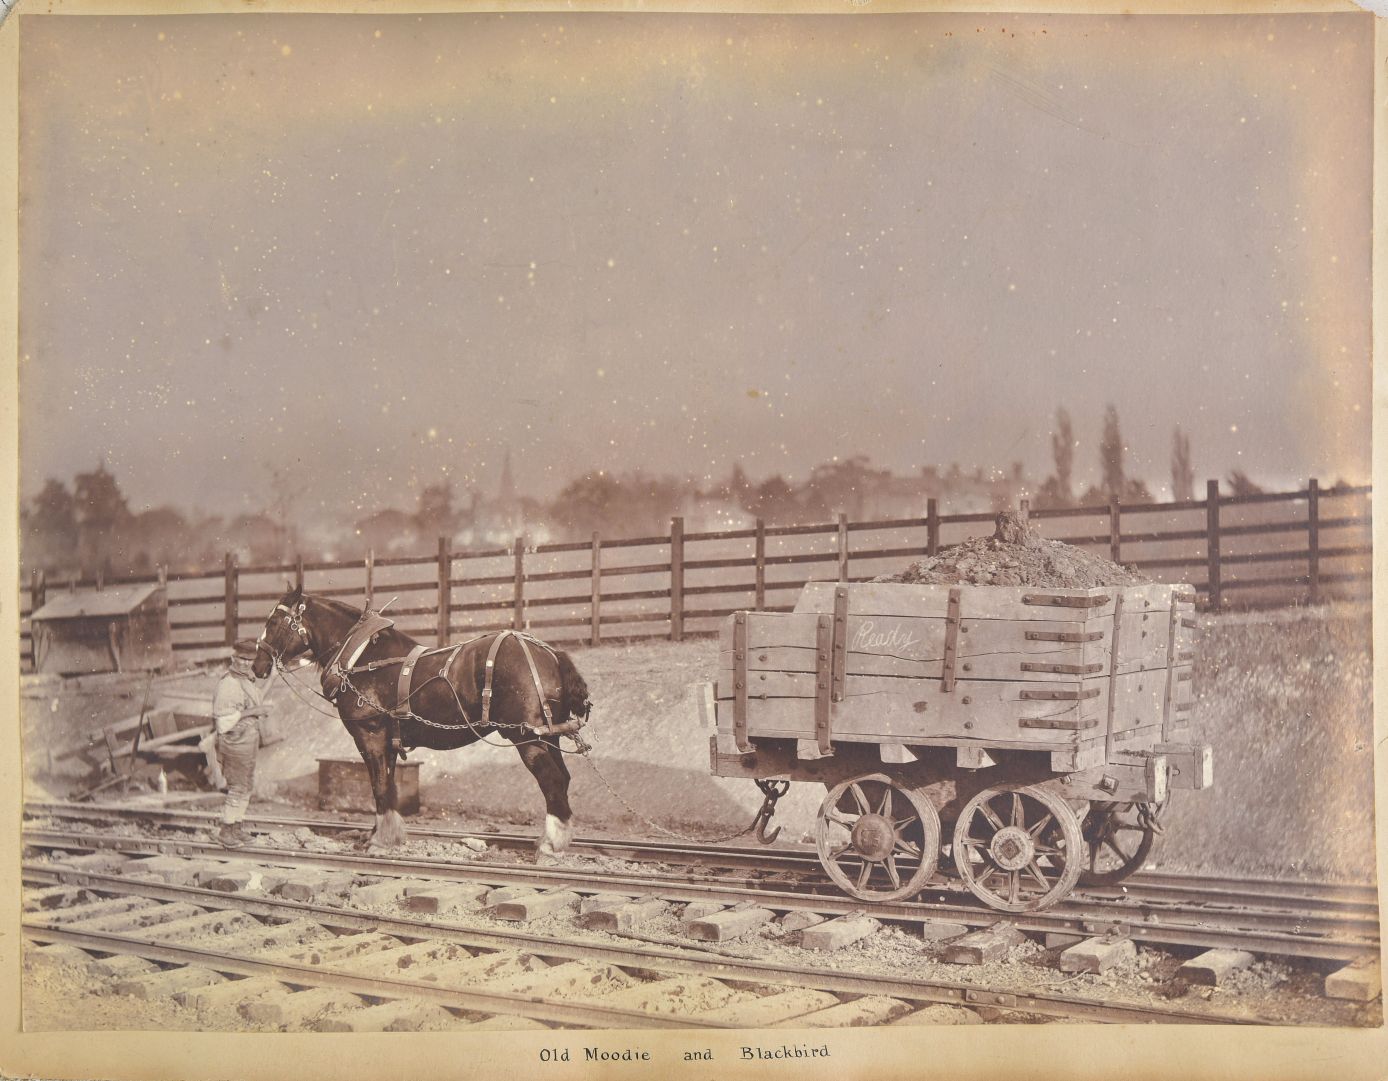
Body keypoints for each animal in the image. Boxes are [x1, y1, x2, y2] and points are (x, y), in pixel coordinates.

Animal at [252, 588, 588, 860]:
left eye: (273, 622)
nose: (257, 665)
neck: (363, 657)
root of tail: (551, 654)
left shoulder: (370, 735)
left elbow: (379, 786)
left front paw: (382, 840)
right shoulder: (387, 741)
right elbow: (386, 786)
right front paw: (383, 833)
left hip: (528, 739)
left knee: (552, 781)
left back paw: (551, 845)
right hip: (548, 737)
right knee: (563, 779)